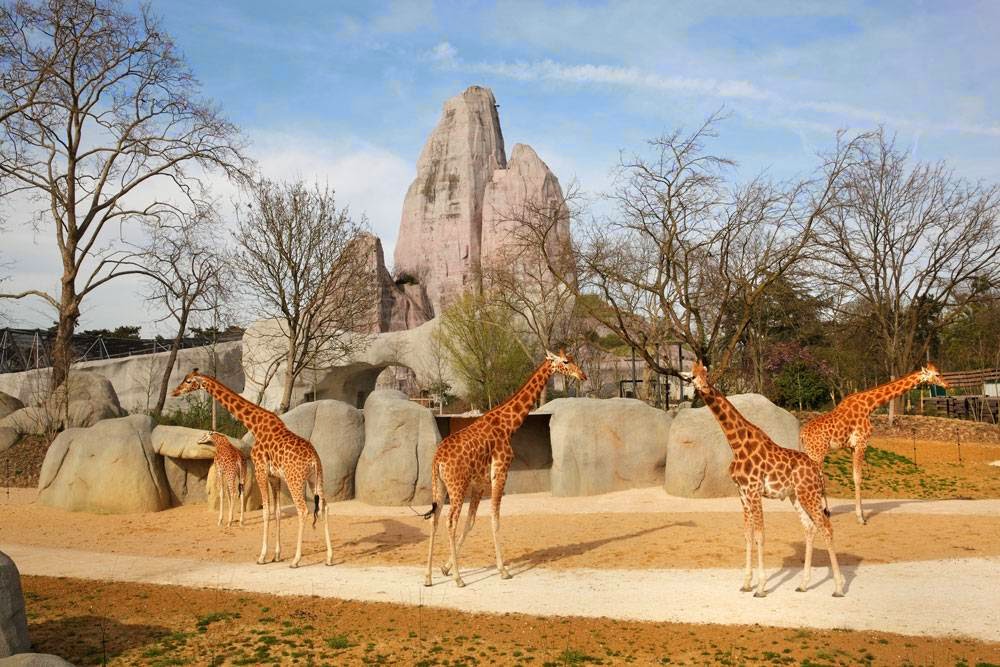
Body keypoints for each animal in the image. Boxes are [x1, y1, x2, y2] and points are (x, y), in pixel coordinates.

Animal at [172, 369, 332, 567]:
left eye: (188, 381)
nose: (175, 392)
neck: (255, 425)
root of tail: (314, 459)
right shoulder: (274, 476)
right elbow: (276, 511)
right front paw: (276, 555)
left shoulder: (260, 470)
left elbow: (265, 511)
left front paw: (262, 556)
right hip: (315, 479)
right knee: (324, 507)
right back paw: (329, 558)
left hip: (294, 479)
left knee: (303, 510)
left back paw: (296, 560)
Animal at [423, 350, 587, 588]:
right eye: (565, 361)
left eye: (573, 359)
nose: (582, 375)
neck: (508, 425)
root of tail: (437, 459)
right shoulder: (500, 473)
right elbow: (495, 519)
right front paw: (503, 570)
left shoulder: (479, 483)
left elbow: (471, 522)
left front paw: (445, 567)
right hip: (457, 487)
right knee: (450, 521)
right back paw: (459, 579)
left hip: (440, 486)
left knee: (435, 520)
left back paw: (428, 577)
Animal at [690, 361, 845, 597]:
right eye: (692, 375)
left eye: (707, 373)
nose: (704, 387)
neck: (736, 444)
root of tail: (818, 471)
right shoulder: (743, 493)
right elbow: (747, 535)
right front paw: (746, 583)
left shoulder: (754, 491)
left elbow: (760, 535)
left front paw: (761, 587)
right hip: (796, 496)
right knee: (810, 528)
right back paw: (803, 584)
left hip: (809, 495)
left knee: (826, 527)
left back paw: (838, 587)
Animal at [801, 364, 949, 525]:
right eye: (937, 374)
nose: (947, 385)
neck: (869, 406)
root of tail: (802, 434)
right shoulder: (861, 443)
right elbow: (858, 478)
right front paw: (861, 518)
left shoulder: (853, 447)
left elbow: (855, 476)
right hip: (817, 453)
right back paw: (821, 513)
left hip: (810, 453)